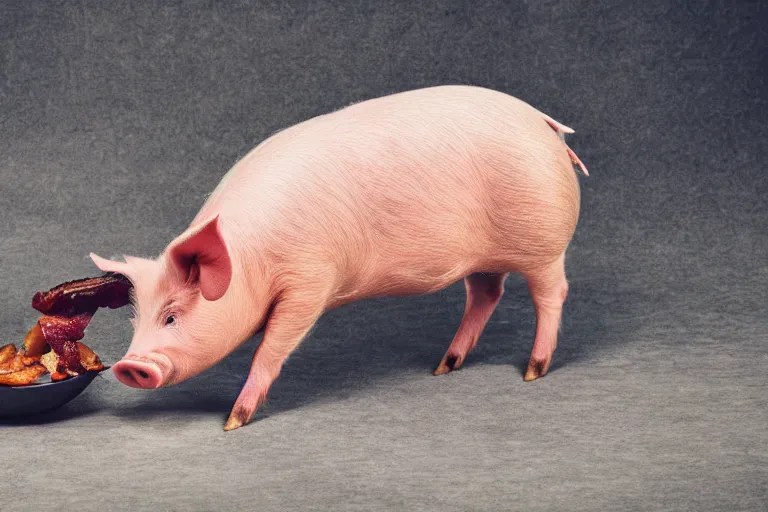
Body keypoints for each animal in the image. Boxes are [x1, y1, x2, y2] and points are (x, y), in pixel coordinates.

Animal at [90, 85, 588, 431]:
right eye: (137, 321)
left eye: (172, 316)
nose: (130, 367)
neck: (252, 260)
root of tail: (545, 124)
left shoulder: (309, 281)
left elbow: (272, 348)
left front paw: (234, 422)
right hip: (483, 258)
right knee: (486, 293)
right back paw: (444, 366)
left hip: (544, 243)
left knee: (552, 293)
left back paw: (533, 372)